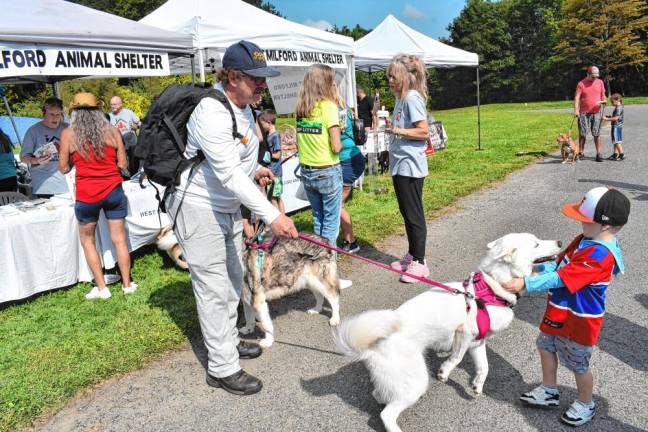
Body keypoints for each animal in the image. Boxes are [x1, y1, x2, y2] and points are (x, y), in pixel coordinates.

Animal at [334, 233, 560, 432]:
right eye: (536, 244)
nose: (559, 242)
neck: (491, 290)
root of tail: (373, 348)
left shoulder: (477, 343)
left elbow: (484, 367)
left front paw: (477, 385)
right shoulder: (464, 333)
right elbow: (457, 357)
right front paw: (445, 371)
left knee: (379, 394)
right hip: (416, 382)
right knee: (387, 414)